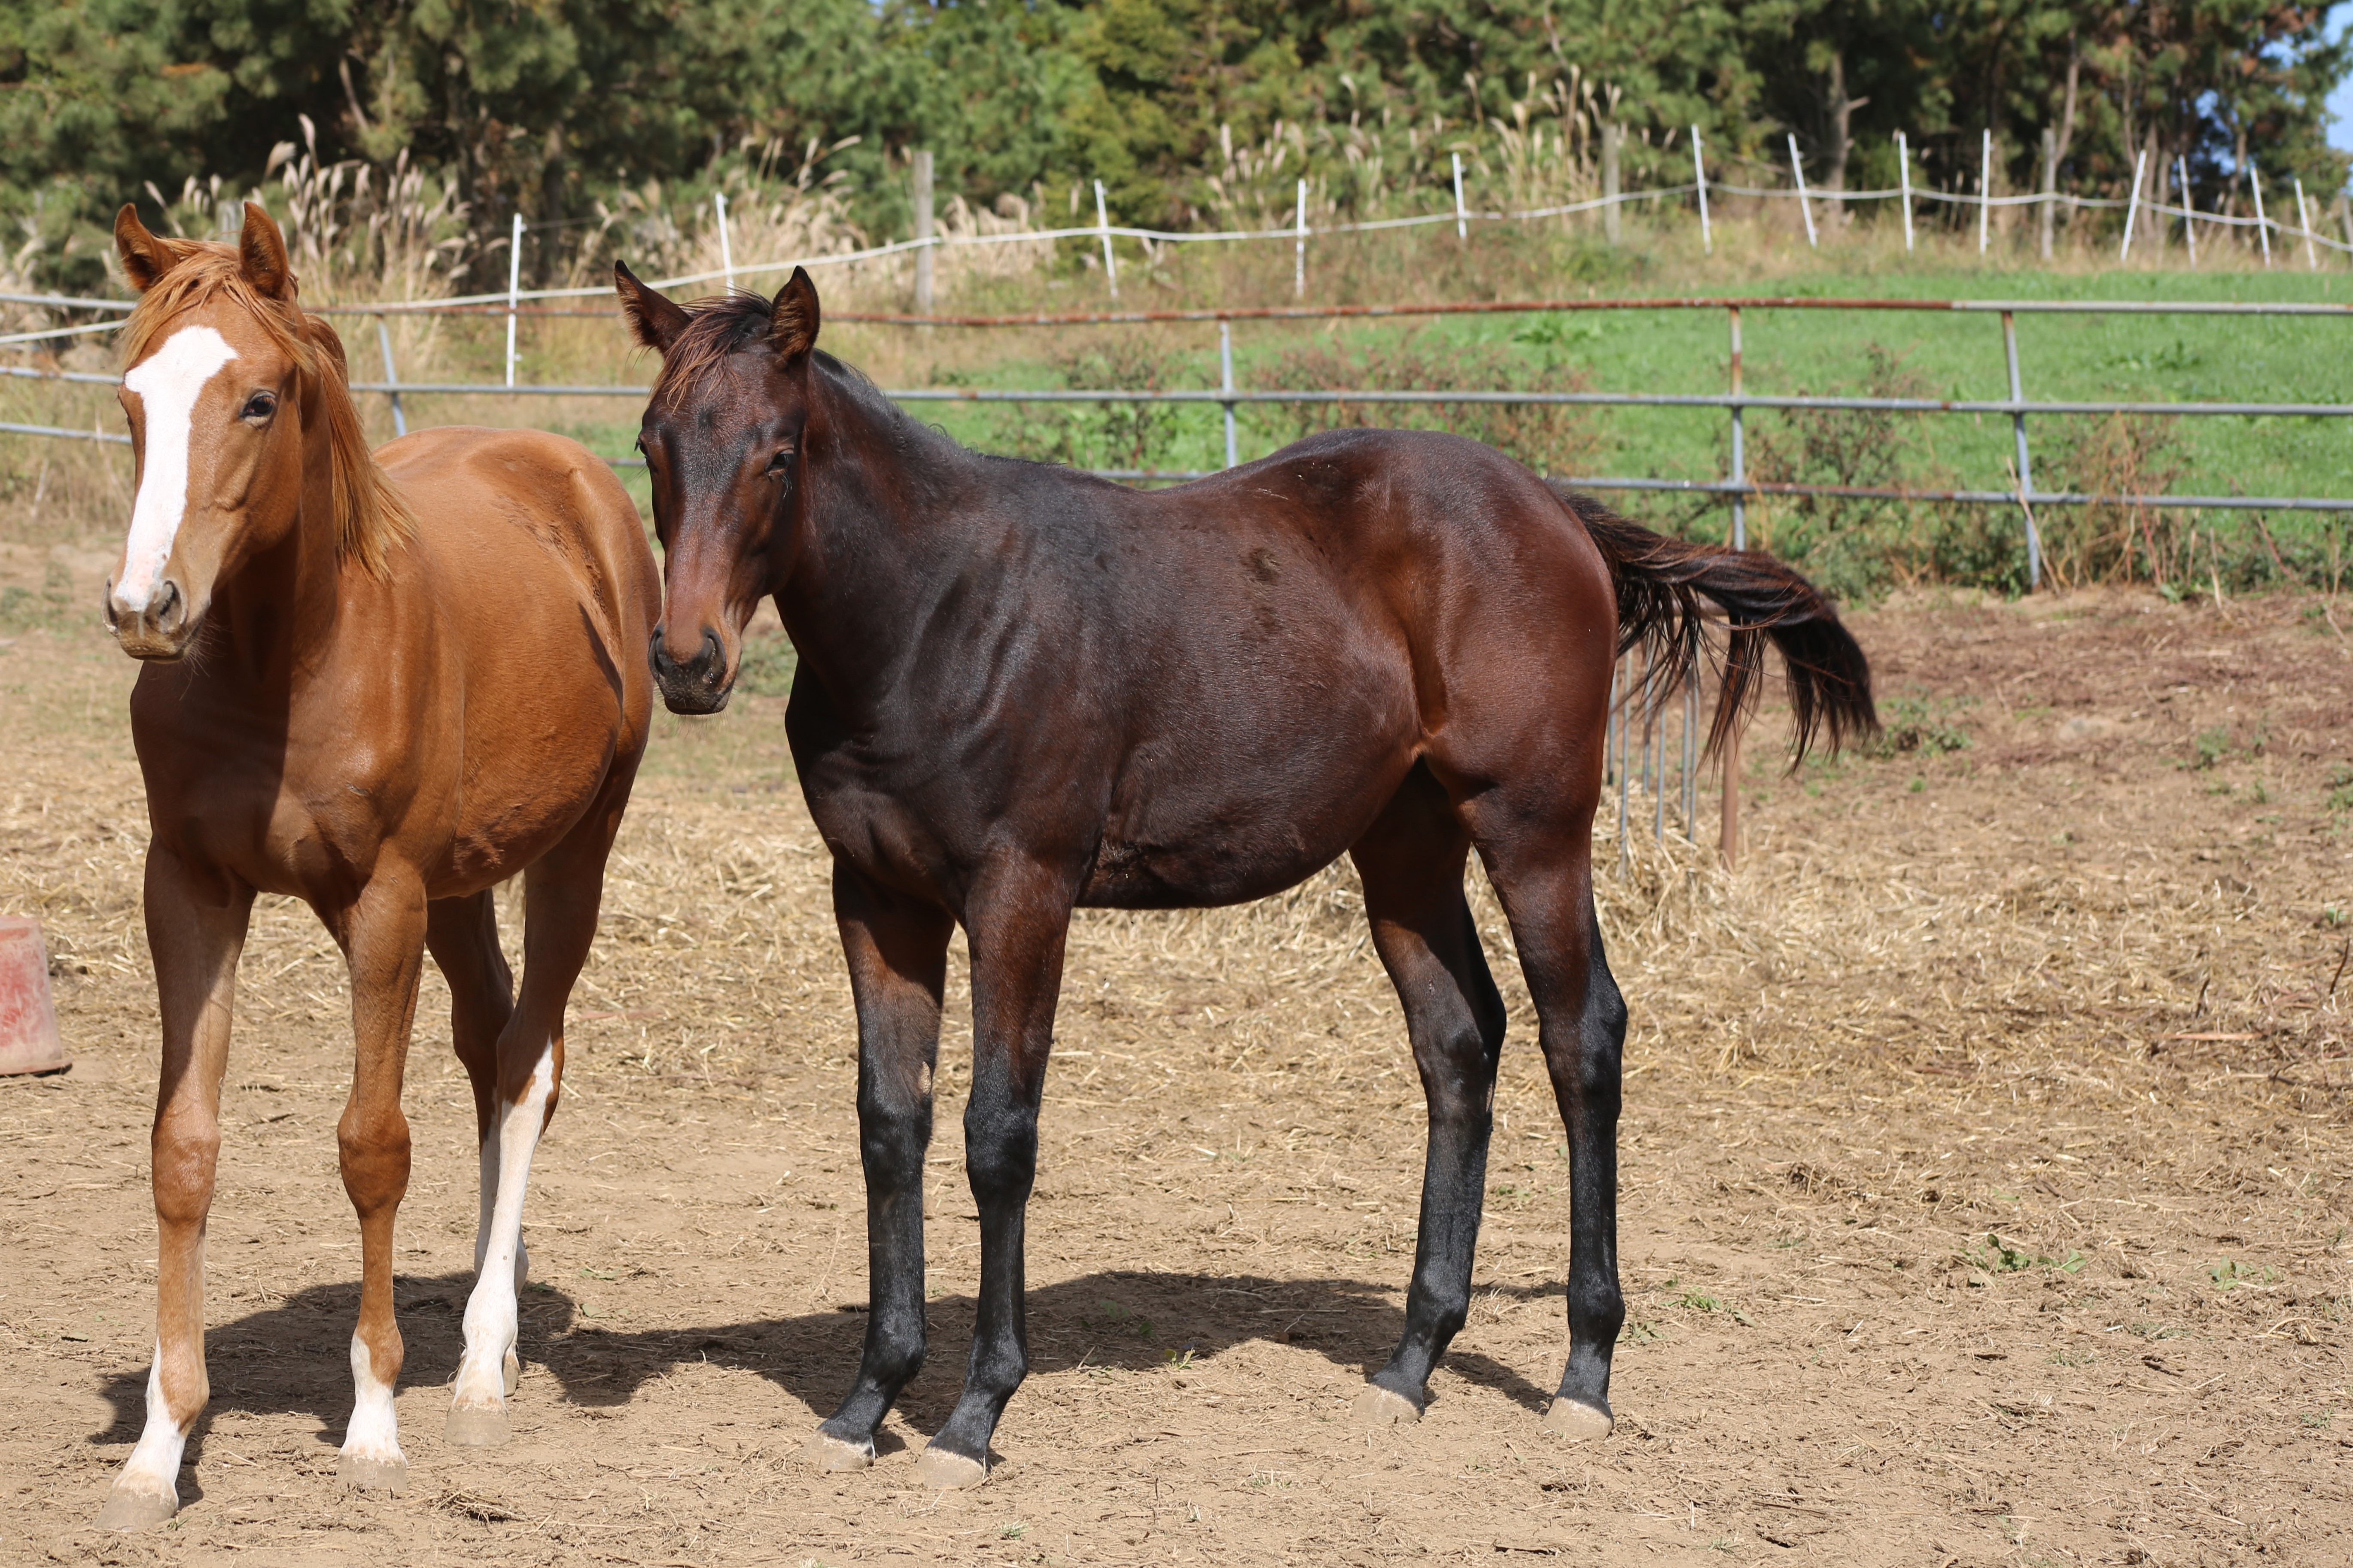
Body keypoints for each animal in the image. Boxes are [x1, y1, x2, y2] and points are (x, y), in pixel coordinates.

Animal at [93, 202, 664, 1523]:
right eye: (133, 400)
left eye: (258, 401)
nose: (148, 606)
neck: (283, 661)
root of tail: (573, 480)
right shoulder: (188, 889)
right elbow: (182, 1147)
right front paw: (160, 1442)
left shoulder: (383, 901)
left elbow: (371, 1146)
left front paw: (372, 1417)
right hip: (461, 886)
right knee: (489, 1050)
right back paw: (494, 1311)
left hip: (572, 852)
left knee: (528, 1066)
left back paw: (482, 1365)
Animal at [612, 263, 1873, 1495]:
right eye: (651, 444)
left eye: (779, 451)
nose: (687, 660)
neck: (935, 618)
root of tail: (1554, 507)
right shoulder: (878, 899)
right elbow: (889, 1127)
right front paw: (868, 1399)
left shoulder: (1022, 893)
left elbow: (996, 1133)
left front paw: (973, 1414)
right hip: (1404, 848)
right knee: (1458, 1045)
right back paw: (1410, 1360)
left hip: (1534, 829)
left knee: (1583, 1037)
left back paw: (1583, 1371)